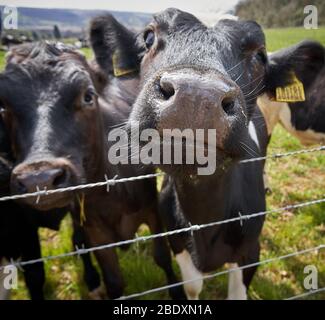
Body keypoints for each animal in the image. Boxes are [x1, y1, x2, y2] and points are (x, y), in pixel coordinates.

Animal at [0, 42, 184, 300]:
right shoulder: (95, 230)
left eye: (88, 96)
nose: (39, 178)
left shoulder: (152, 209)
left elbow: (163, 257)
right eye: (3, 107)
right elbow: (113, 280)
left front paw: (178, 293)